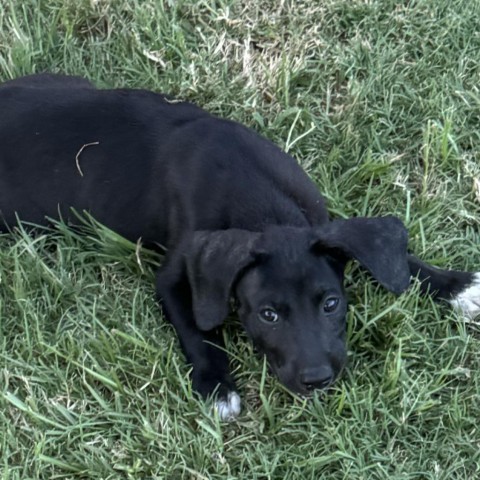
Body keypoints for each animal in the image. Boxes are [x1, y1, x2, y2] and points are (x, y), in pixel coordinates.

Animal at [1, 75, 478, 420]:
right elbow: (198, 331)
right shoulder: (175, 276)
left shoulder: (321, 220)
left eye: (331, 304)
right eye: (267, 315)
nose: (317, 380)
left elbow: (386, 255)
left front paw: (455, 285)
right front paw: (218, 387)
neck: (259, 203)